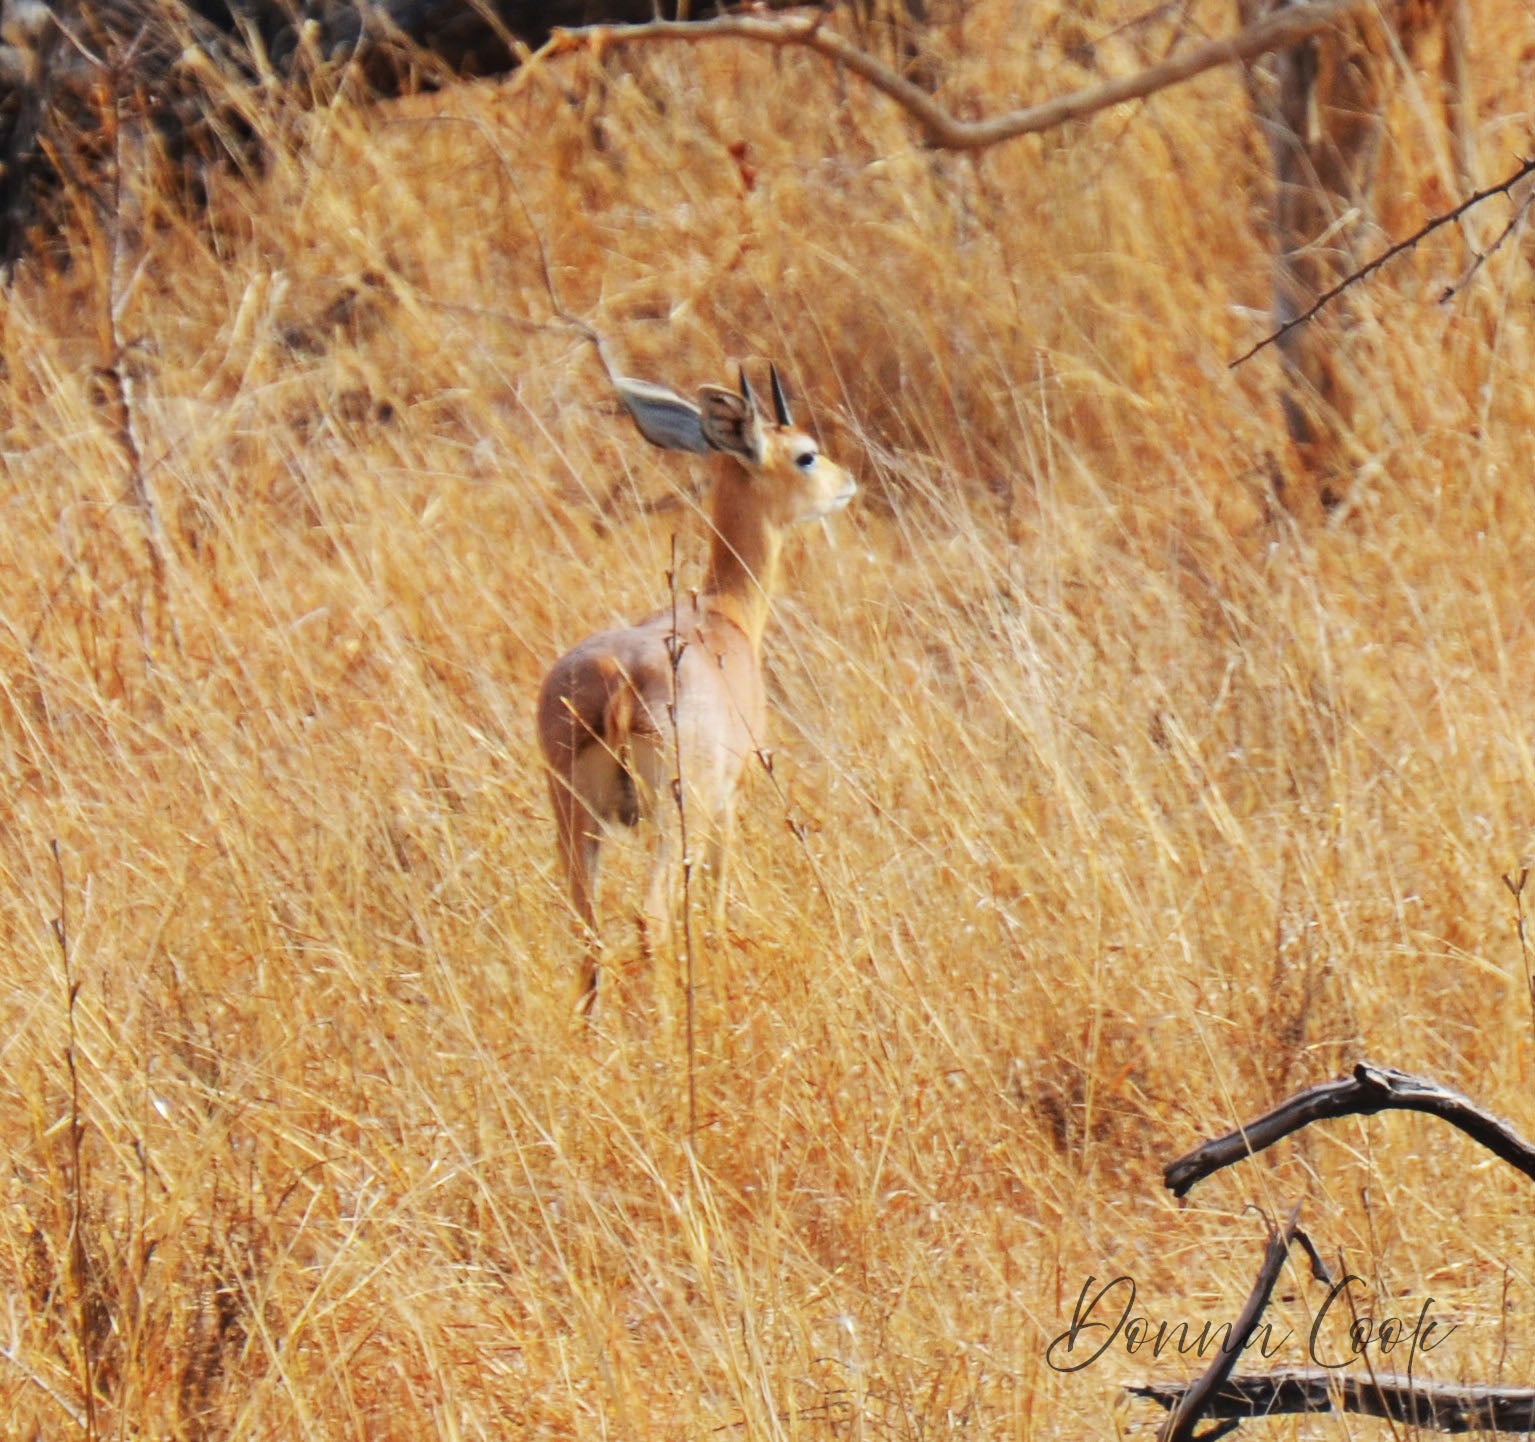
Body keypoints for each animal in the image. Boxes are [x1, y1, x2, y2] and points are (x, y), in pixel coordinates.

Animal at [536, 363, 856, 1013]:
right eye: (806, 454)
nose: (847, 483)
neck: (722, 614)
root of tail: (617, 680)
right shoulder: (729, 801)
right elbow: (715, 905)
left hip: (575, 818)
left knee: (588, 930)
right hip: (673, 815)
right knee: (650, 916)